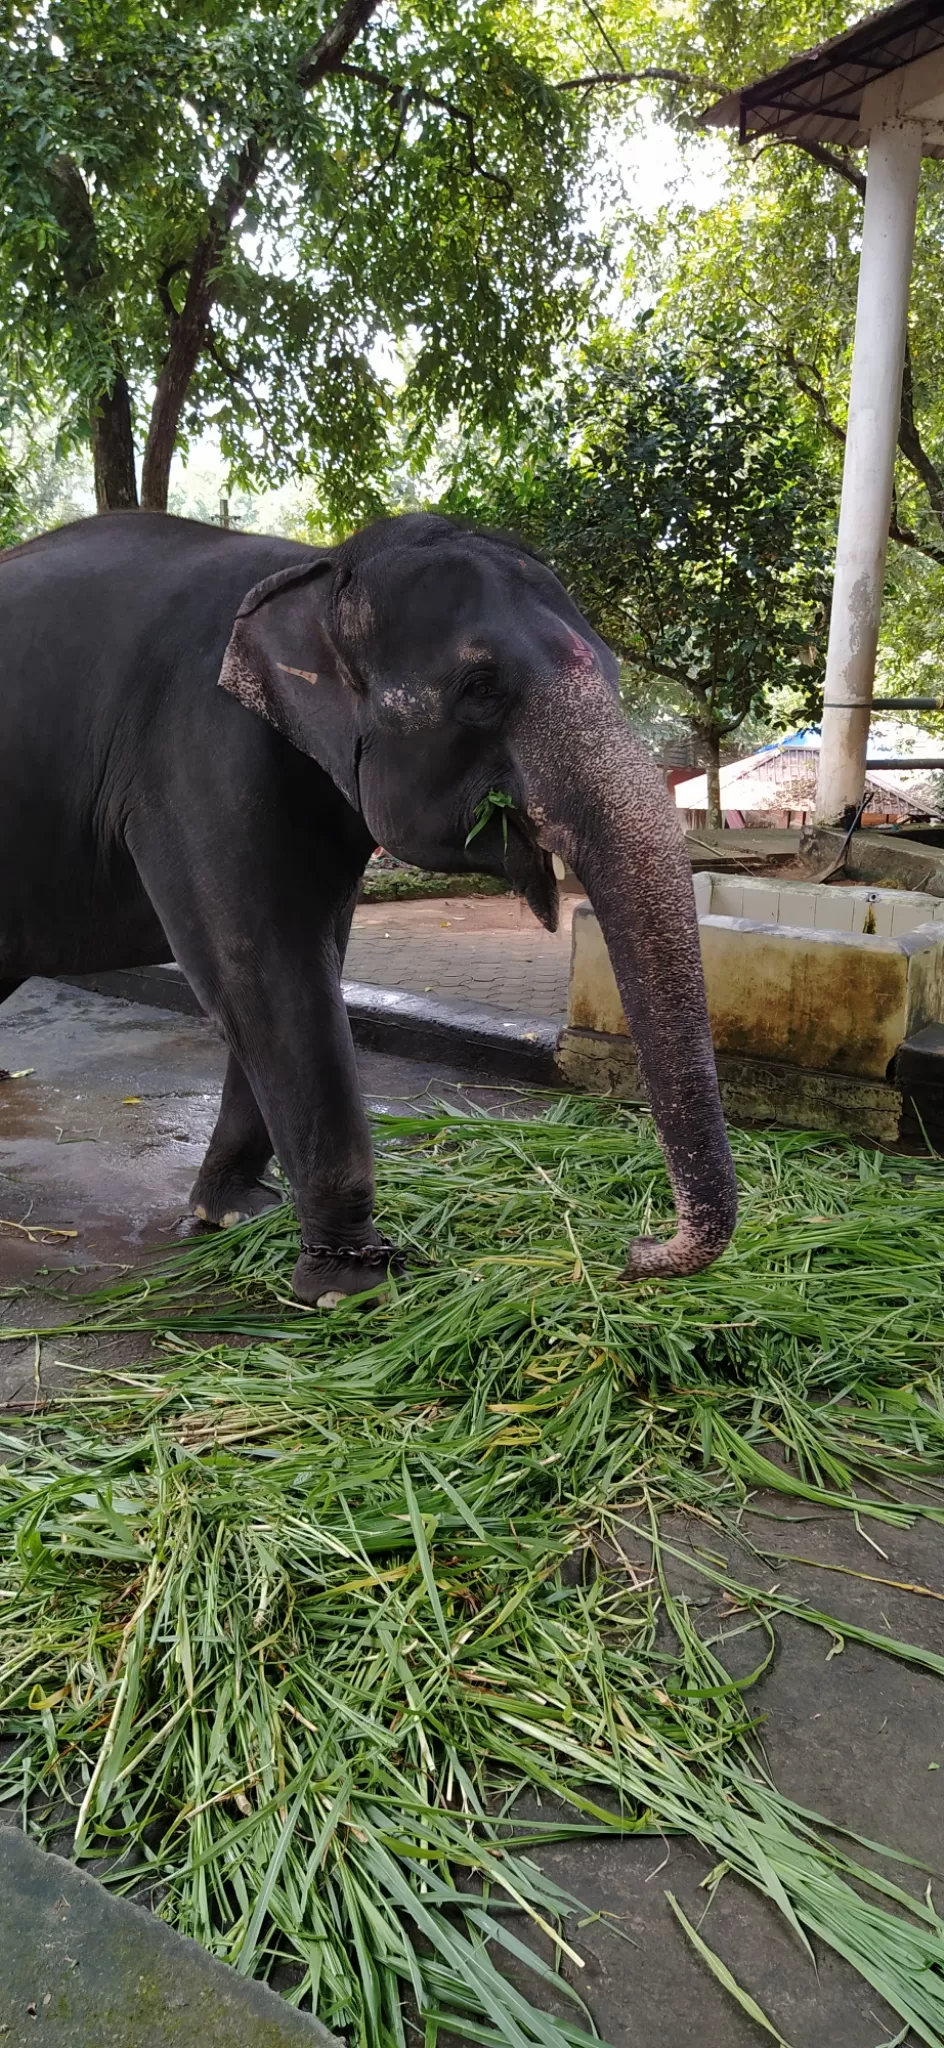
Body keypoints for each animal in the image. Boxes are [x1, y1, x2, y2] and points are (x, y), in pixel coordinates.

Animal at [1, 507, 737, 1294]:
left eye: (616, 672)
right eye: (481, 687)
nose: (636, 1250)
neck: (320, 571)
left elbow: (317, 946)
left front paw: (235, 1214)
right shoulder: (195, 751)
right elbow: (259, 965)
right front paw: (353, 1286)